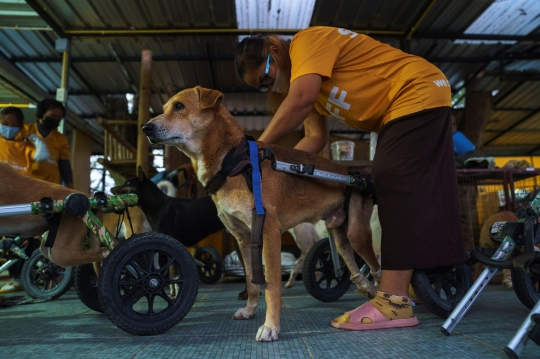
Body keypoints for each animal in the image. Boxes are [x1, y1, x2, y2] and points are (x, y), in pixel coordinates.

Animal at [141, 87, 380, 344]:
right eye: (165, 108)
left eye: (179, 106)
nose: (145, 128)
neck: (231, 163)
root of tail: (352, 174)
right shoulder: (244, 238)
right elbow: (251, 280)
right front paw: (250, 310)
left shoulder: (268, 232)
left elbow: (271, 285)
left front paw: (270, 326)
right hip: (338, 234)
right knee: (351, 265)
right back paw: (366, 288)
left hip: (357, 234)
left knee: (376, 265)